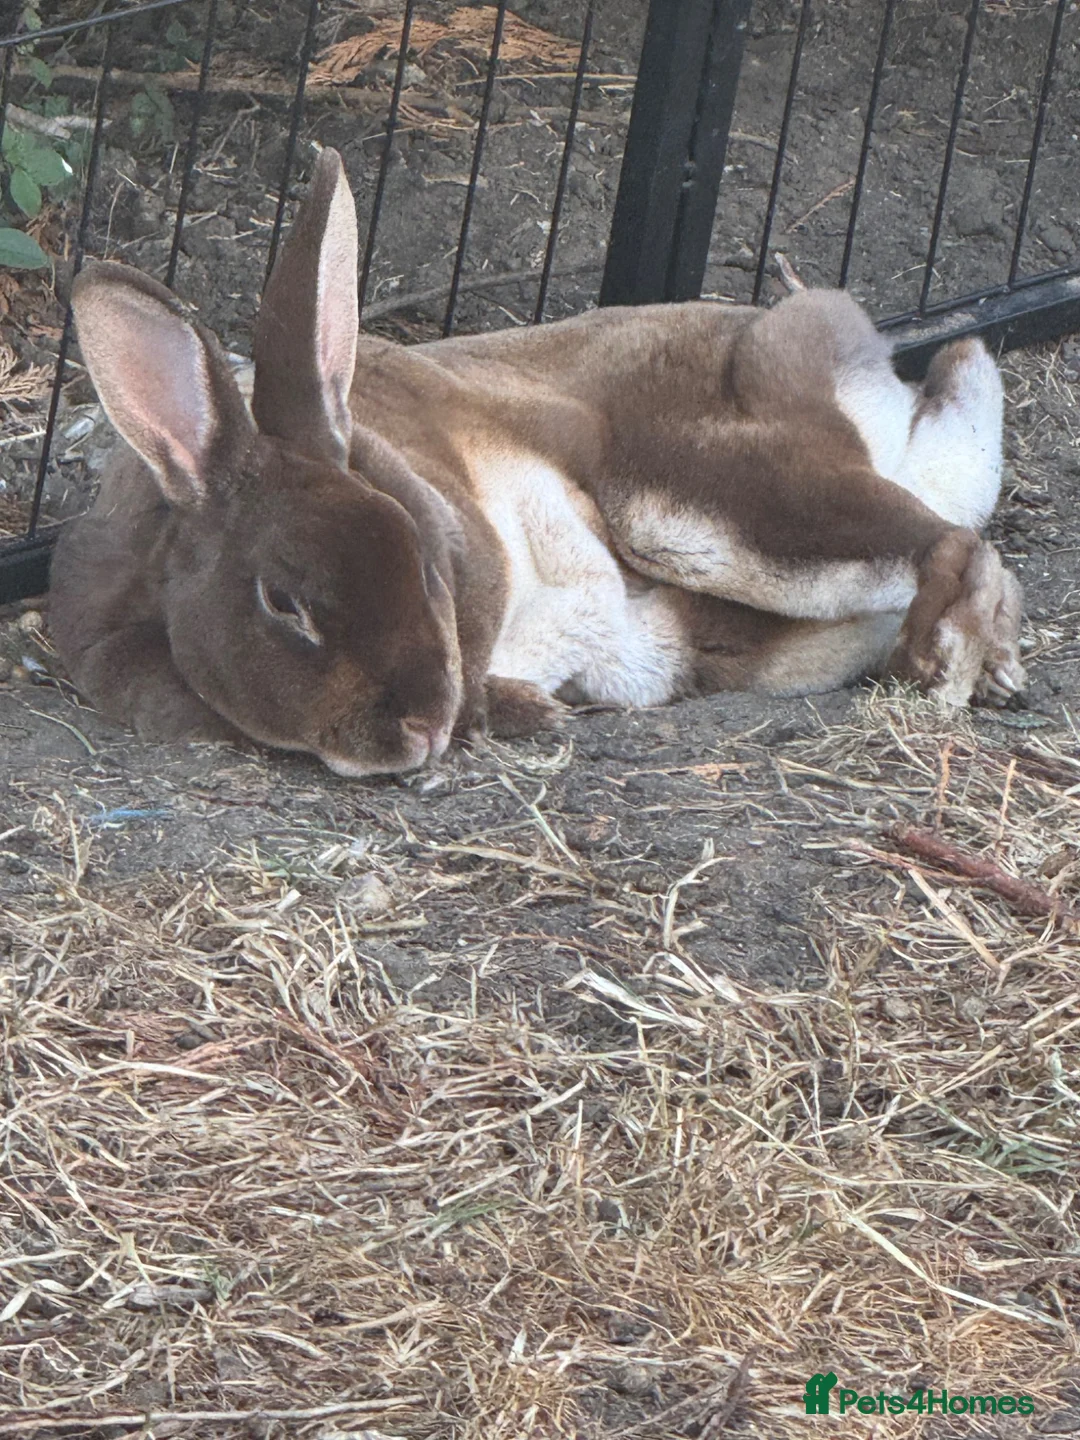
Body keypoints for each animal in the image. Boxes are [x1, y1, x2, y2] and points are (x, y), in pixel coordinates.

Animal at [48, 147, 1025, 777]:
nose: (418, 729)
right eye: (282, 603)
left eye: (422, 557)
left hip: (701, 505)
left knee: (955, 547)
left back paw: (953, 665)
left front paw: (517, 712)